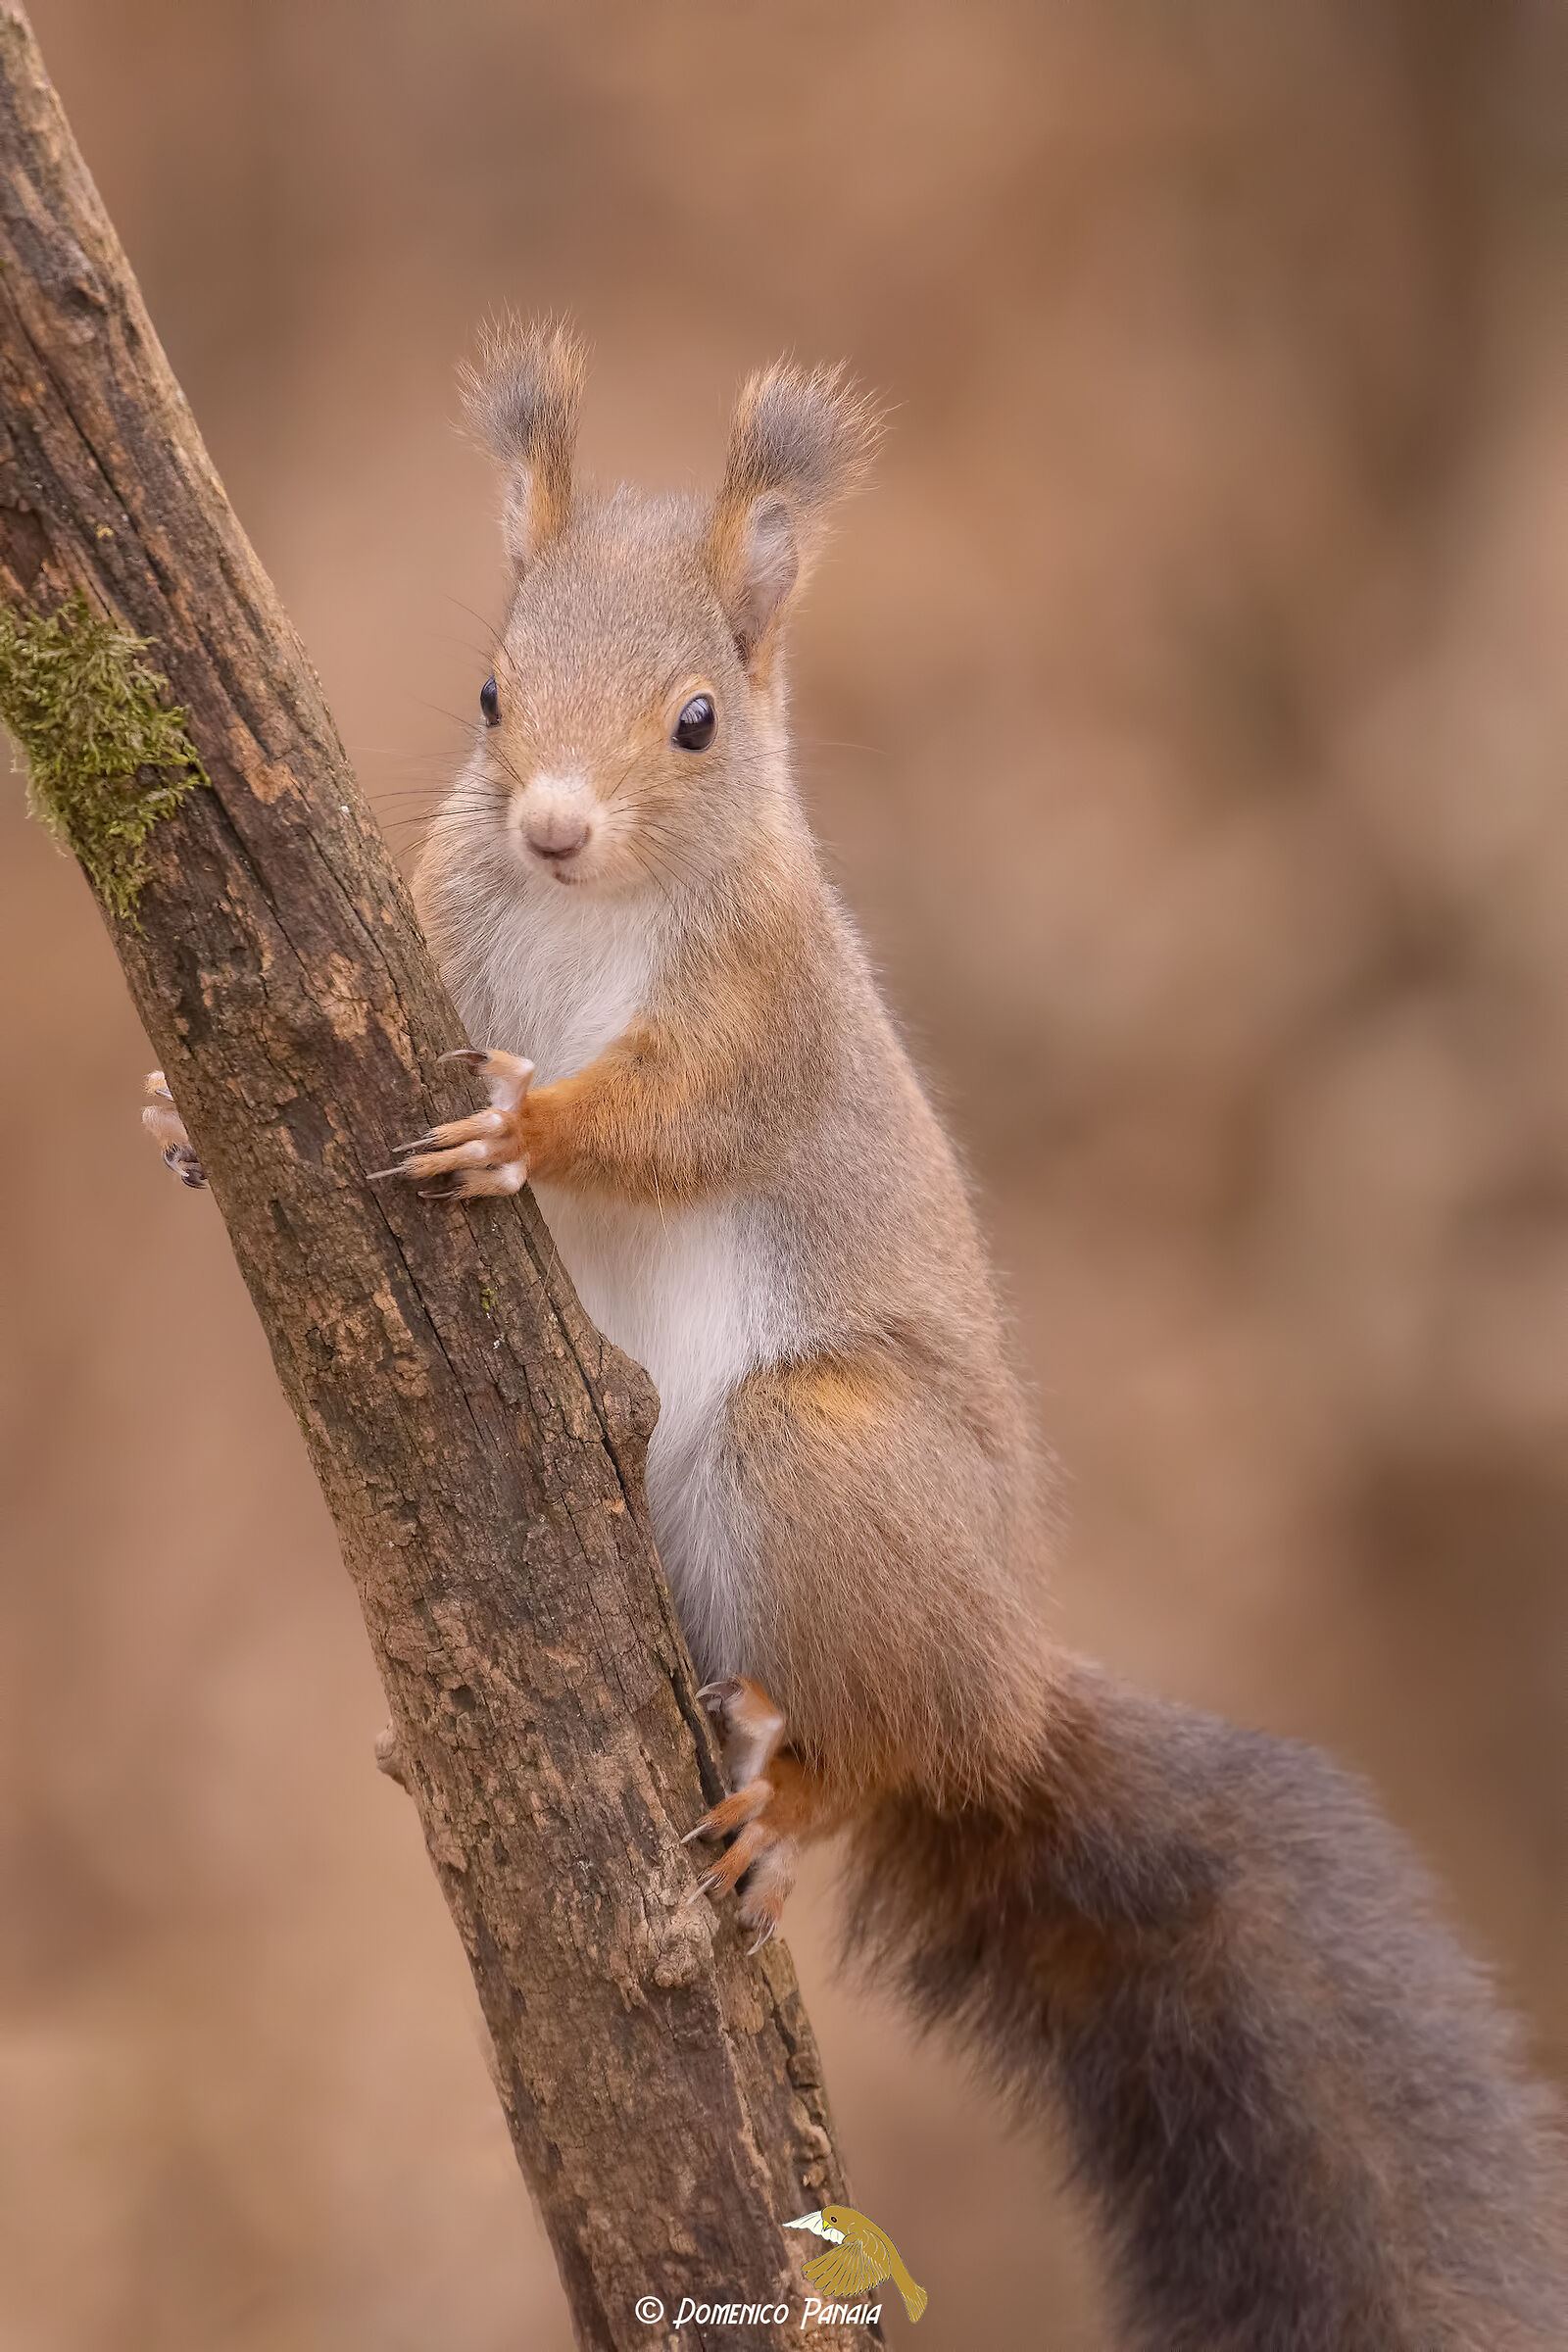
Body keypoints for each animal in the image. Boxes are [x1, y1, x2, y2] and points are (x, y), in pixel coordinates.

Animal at [146, 320, 1568, 2350]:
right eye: (491, 692)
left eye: (697, 722)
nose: (552, 828)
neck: (588, 918)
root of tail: (1006, 1684)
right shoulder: (440, 909)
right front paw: (174, 1119)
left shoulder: (763, 1018)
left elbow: (671, 1119)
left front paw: (531, 1128)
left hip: (814, 1466)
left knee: (880, 1743)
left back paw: (794, 1793)